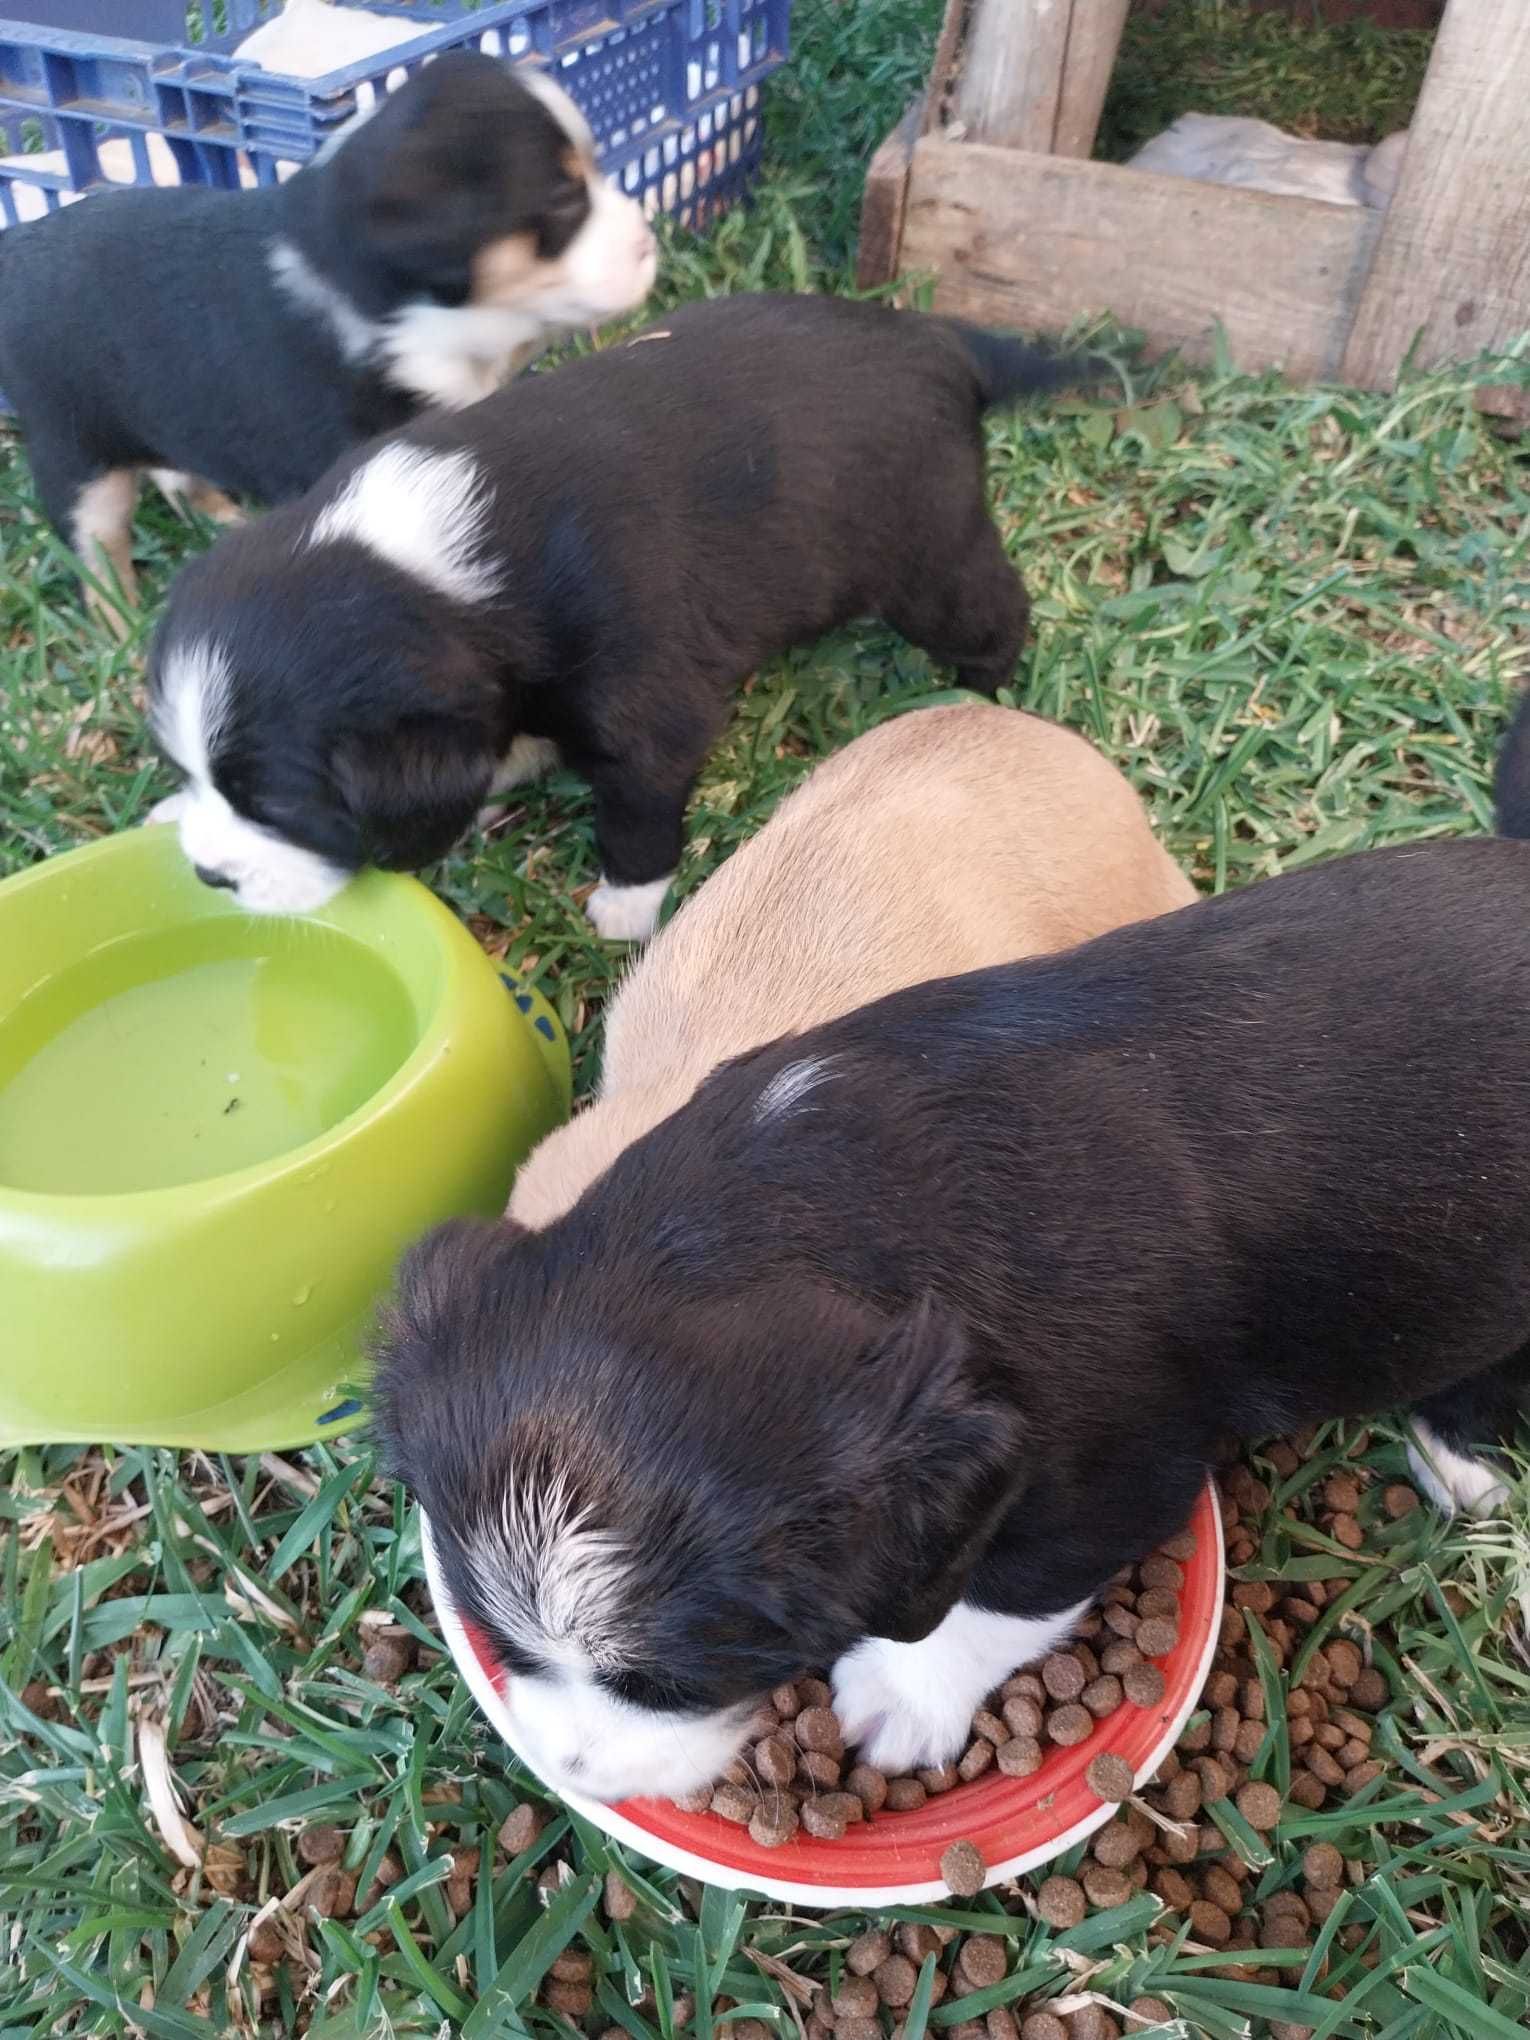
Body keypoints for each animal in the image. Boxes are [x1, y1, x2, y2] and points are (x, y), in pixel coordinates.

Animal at [0, 51, 652, 616]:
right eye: (562, 197)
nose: (649, 243)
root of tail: (22, 245)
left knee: (176, 473)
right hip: (77, 457)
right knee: (97, 558)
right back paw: (124, 624)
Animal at [143, 295, 1093, 934]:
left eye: (280, 808)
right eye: (191, 771)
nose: (207, 876)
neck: (425, 568)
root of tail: (939, 337)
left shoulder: (642, 693)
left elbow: (638, 805)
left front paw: (623, 912)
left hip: (927, 554)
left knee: (992, 608)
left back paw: (981, 694)